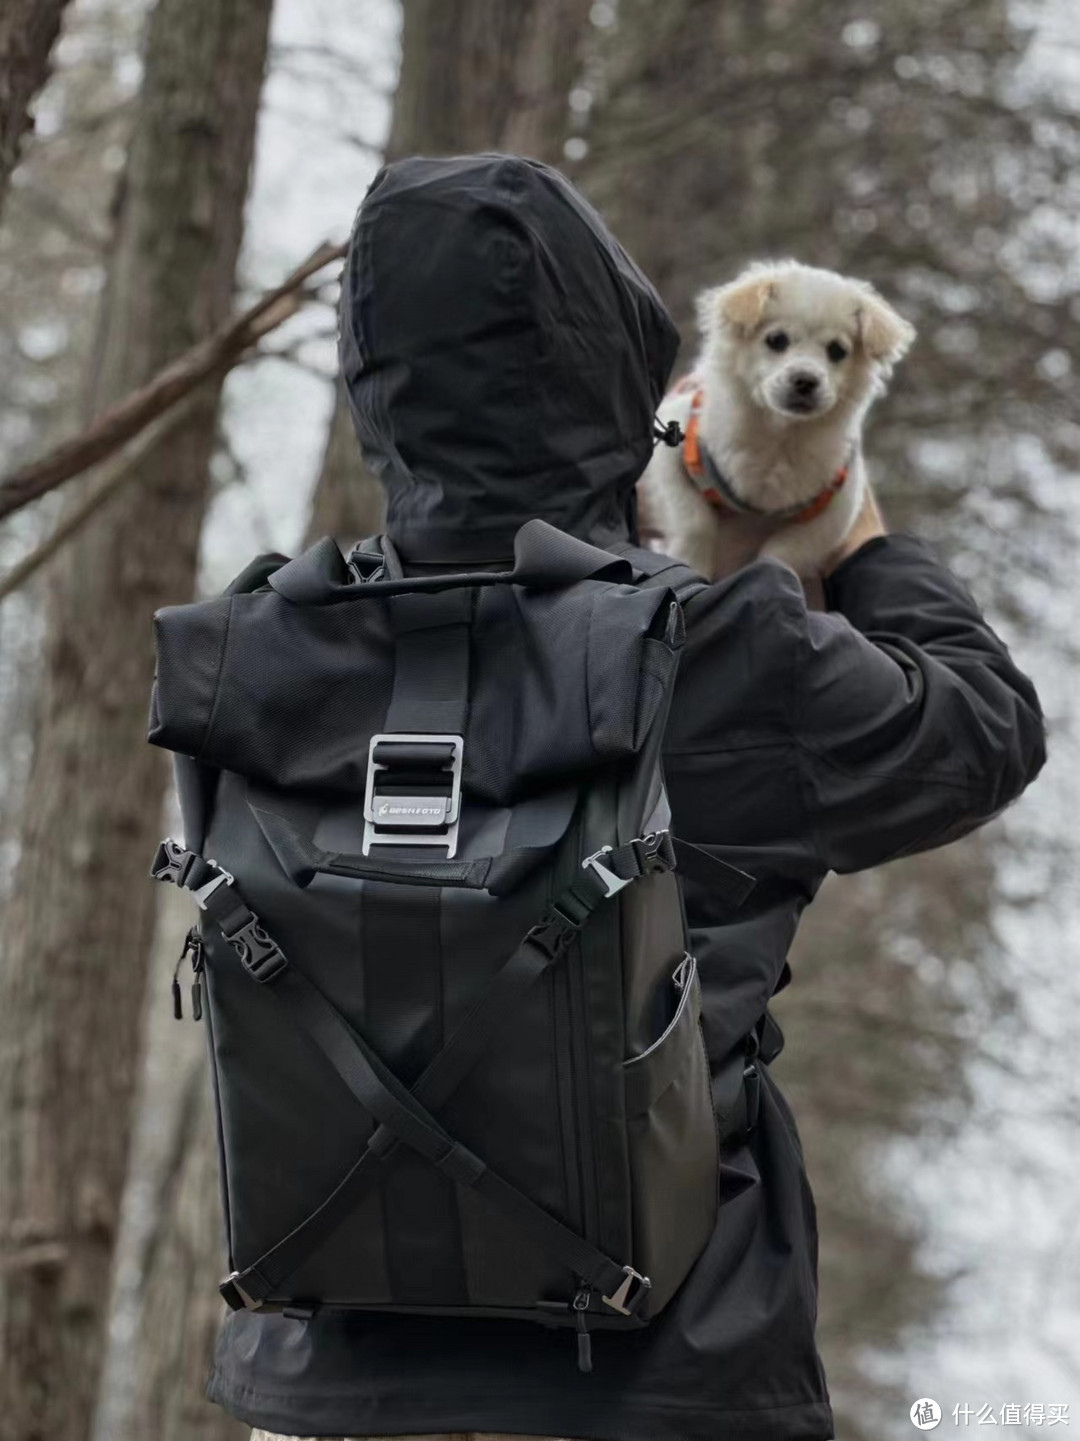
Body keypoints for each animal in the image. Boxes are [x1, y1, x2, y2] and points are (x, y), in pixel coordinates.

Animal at [637, 259, 917, 579]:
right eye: (776, 340)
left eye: (837, 350)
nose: (805, 380)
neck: (780, 435)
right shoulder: (672, 452)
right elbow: (694, 521)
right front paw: (691, 562)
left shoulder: (838, 508)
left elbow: (786, 550)